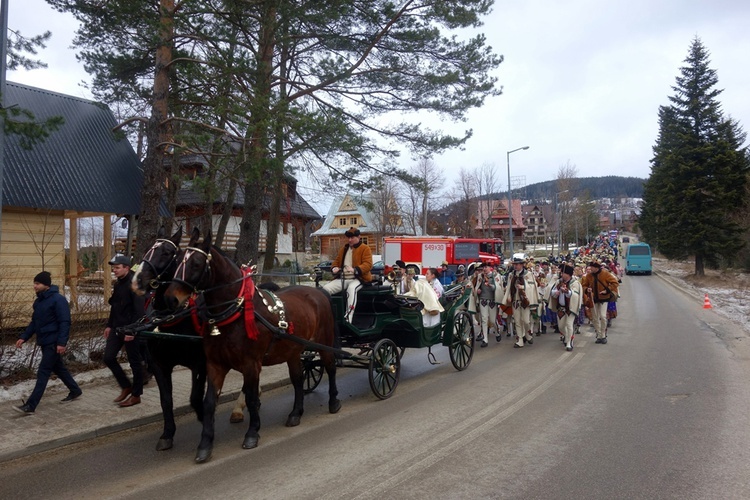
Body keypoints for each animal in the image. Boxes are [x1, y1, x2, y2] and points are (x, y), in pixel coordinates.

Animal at [166, 229, 342, 462]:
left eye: (196, 263)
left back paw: (333, 402)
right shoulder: (215, 365)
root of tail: (318, 292)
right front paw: (205, 444)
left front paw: (252, 433)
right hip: (293, 351)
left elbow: (250, 398)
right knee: (297, 380)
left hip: (324, 343)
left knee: (330, 368)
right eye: (177, 261)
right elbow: (209, 402)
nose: (171, 299)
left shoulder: (251, 364)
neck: (235, 313)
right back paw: (295, 413)